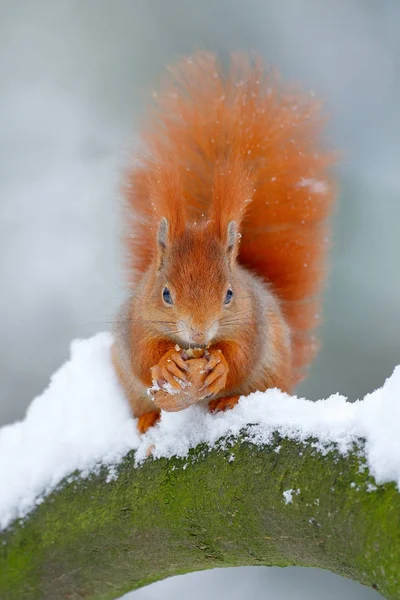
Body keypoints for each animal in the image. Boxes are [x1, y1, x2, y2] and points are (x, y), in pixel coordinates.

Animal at [111, 51, 336, 434]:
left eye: (229, 294)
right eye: (165, 294)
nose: (200, 334)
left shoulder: (252, 322)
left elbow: (242, 355)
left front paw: (220, 367)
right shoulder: (135, 322)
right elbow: (143, 355)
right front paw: (166, 363)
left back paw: (228, 400)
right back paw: (148, 418)